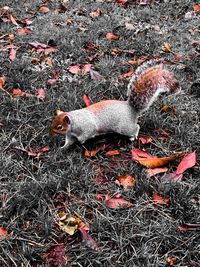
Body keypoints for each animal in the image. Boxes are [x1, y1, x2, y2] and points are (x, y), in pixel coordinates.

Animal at [50, 59, 181, 150]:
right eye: (53, 122)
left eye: (59, 127)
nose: (51, 133)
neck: (74, 121)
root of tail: (131, 109)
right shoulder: (70, 134)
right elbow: (69, 141)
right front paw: (63, 147)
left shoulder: (86, 127)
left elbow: (87, 134)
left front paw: (81, 141)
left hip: (124, 127)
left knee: (136, 127)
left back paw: (133, 137)